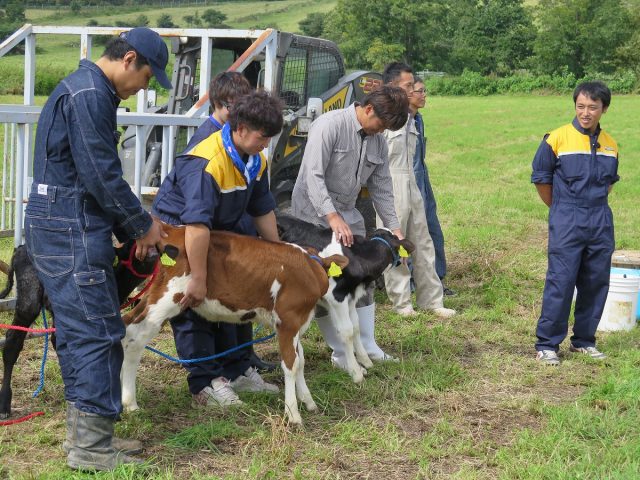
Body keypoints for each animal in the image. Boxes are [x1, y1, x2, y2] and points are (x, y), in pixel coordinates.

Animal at [276, 214, 416, 382]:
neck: (357, 258)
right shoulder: (336, 296)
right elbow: (346, 331)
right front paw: (356, 372)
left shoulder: (349, 297)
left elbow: (355, 326)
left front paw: (365, 361)